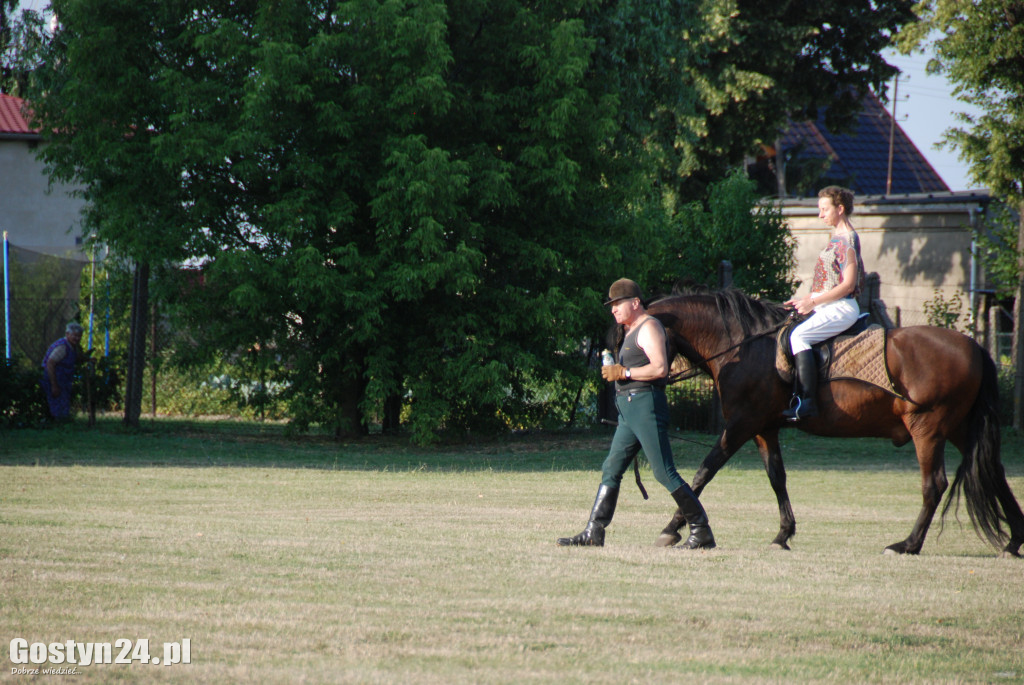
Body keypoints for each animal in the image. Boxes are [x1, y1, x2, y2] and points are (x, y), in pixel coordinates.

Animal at [647, 288, 1024, 557]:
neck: (747, 347)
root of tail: (974, 347)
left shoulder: (741, 424)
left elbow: (703, 473)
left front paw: (673, 528)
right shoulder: (764, 429)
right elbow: (777, 478)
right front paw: (783, 534)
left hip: (928, 429)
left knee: (934, 485)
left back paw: (907, 545)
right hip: (960, 428)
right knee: (994, 473)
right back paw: (1013, 542)